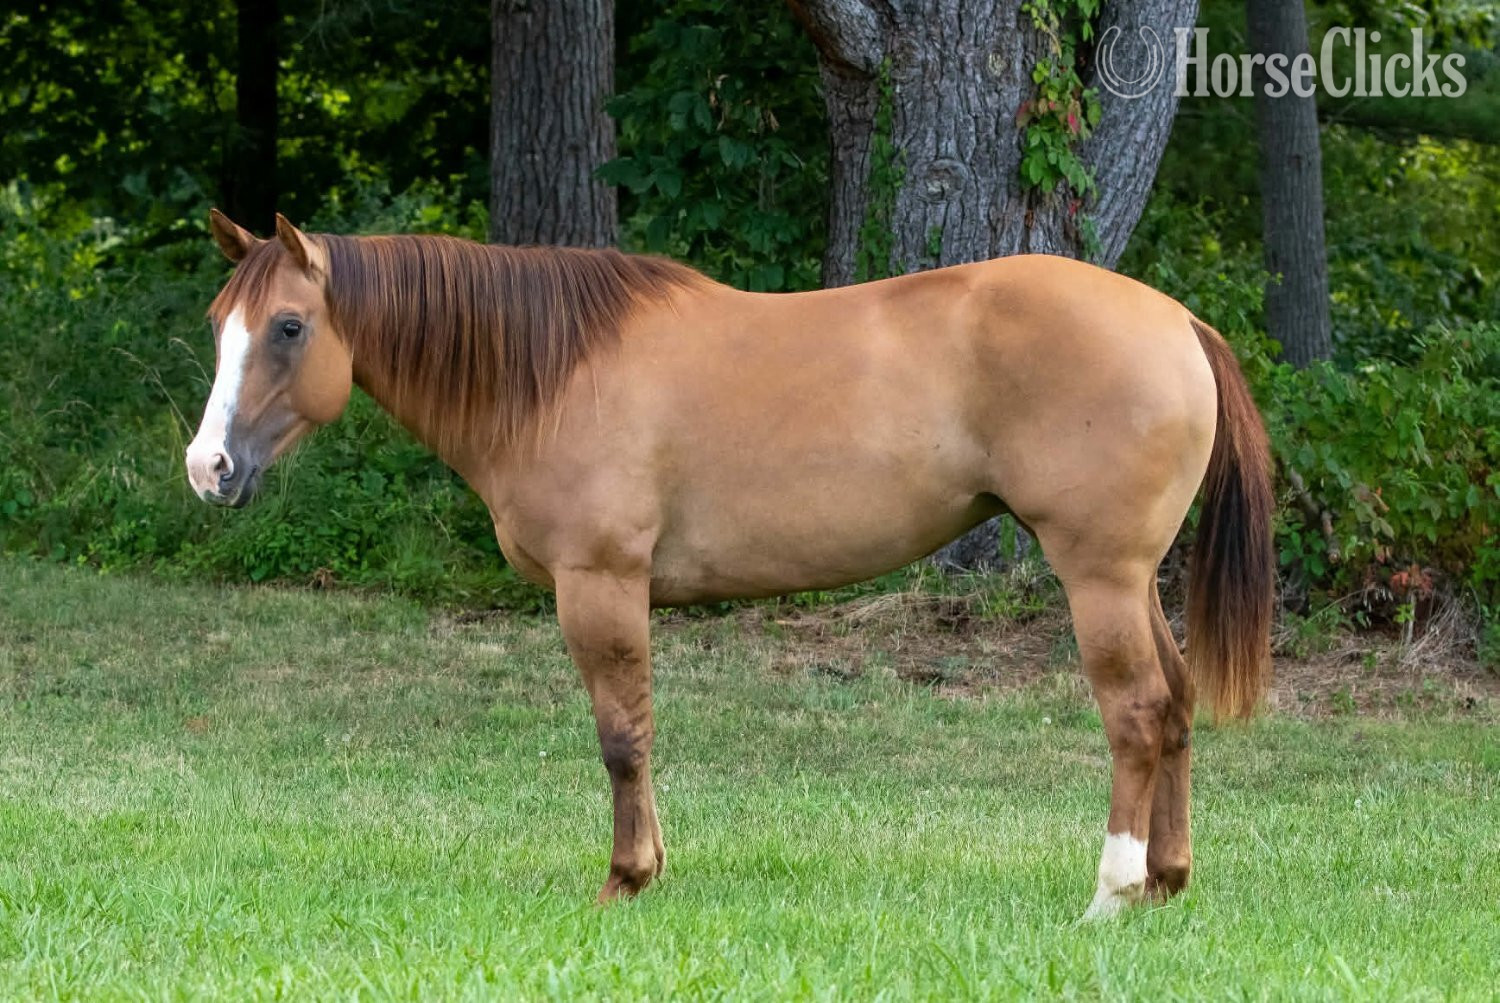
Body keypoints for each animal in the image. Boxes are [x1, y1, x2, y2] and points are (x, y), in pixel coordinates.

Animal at [186, 210, 1273, 919]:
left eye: (288, 327)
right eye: (218, 326)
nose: (209, 467)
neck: (553, 372)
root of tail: (1178, 321)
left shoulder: (601, 585)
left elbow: (622, 736)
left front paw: (627, 878)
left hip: (1099, 577)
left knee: (1137, 714)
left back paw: (1111, 892)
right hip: (1134, 581)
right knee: (1176, 706)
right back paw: (1166, 882)